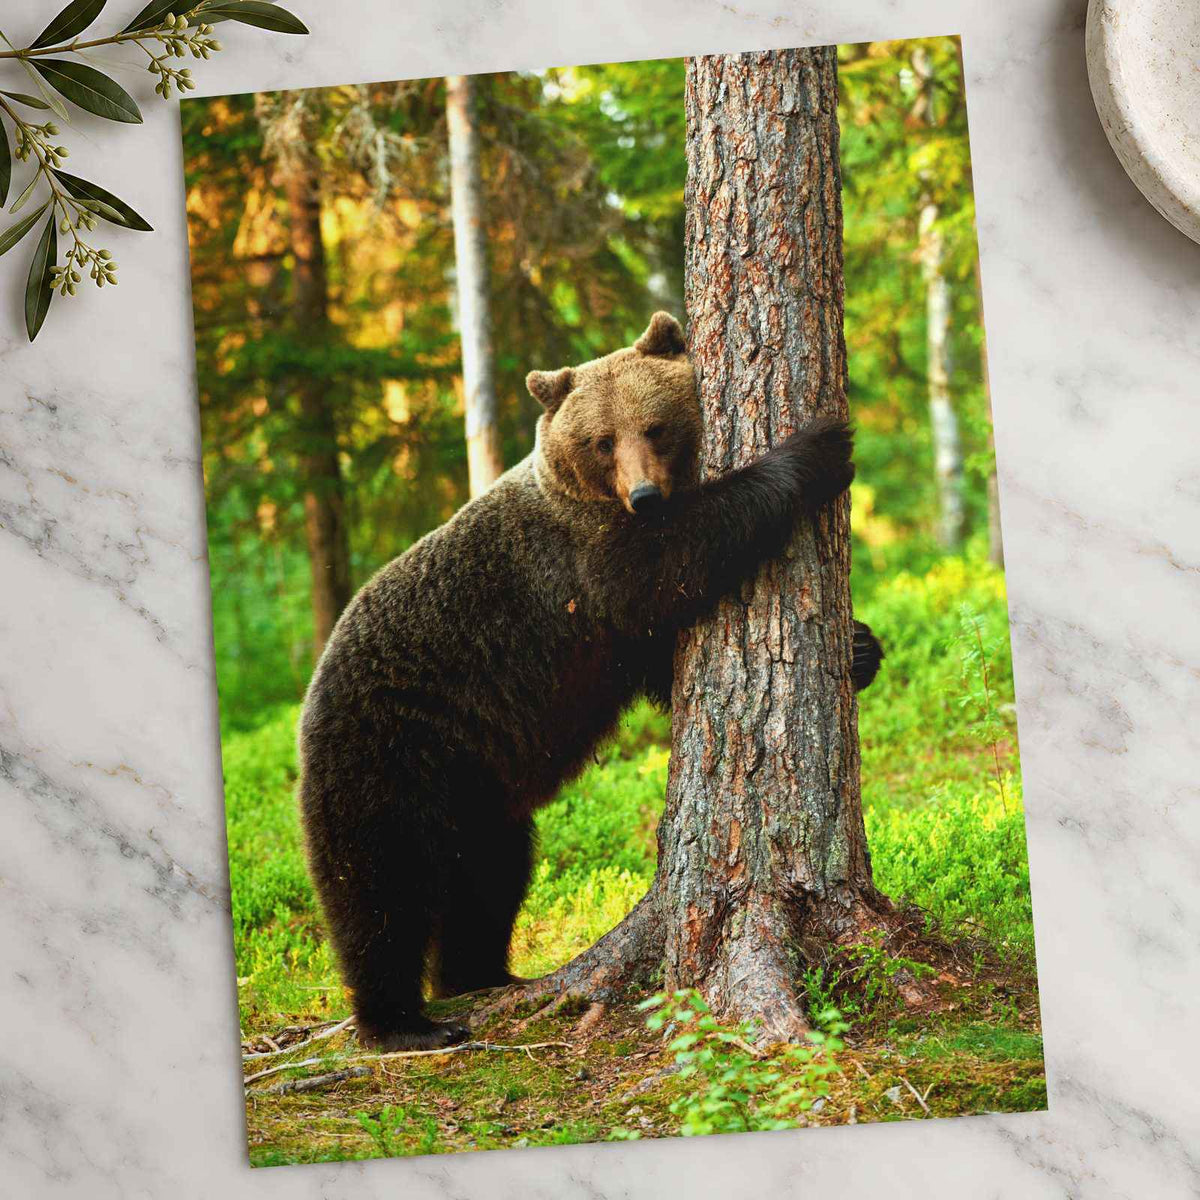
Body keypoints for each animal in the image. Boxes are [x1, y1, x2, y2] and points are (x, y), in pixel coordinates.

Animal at [297, 312, 883, 1051]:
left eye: (654, 426)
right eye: (602, 441)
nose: (645, 495)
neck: (595, 499)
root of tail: (310, 699)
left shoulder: (612, 631)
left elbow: (668, 659)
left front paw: (861, 648)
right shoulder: (583, 568)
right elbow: (674, 564)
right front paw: (818, 449)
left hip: (476, 784)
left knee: (490, 873)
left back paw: (483, 975)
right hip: (387, 753)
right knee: (380, 887)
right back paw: (404, 1022)